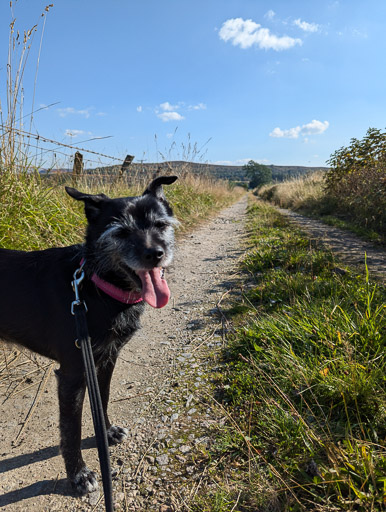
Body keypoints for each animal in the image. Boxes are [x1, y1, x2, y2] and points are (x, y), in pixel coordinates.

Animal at [0, 177, 178, 496]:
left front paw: (106, 431)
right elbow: (71, 429)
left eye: (160, 224)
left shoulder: (106, 360)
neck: (94, 287)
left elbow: (103, 400)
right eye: (120, 232)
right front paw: (79, 475)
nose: (155, 254)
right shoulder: (72, 374)